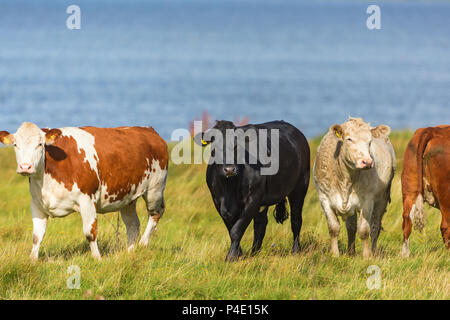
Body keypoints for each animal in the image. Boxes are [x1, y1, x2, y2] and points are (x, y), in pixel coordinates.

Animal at [0, 122, 169, 260]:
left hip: (155, 189)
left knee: (155, 214)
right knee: (133, 224)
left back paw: (143, 244)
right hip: (127, 197)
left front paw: (97, 258)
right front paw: (32, 260)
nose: (25, 167)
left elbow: (90, 232)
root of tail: (149, 130)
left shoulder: (87, 200)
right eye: (15, 145)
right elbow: (37, 236)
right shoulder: (37, 203)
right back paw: (129, 252)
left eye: (40, 144)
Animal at [200, 121, 310, 262]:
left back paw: (295, 250)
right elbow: (231, 228)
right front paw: (239, 254)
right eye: (215, 146)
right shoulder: (218, 201)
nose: (229, 169)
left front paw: (231, 257)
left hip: (300, 187)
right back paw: (255, 253)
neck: (229, 187)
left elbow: (236, 229)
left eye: (237, 145)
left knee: (296, 220)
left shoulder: (253, 200)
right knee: (261, 224)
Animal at [312, 117, 394, 258]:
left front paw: (366, 256)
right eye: (349, 139)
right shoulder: (324, 197)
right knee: (351, 227)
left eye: (370, 141)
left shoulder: (367, 200)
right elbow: (334, 228)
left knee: (375, 226)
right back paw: (350, 252)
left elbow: (364, 230)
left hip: (382, 198)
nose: (367, 162)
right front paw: (335, 254)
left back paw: (373, 251)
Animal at [402, 125, 450, 258]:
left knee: (407, 222)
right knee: (446, 226)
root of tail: (432, 130)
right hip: (446, 195)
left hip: (410, 189)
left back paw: (405, 255)